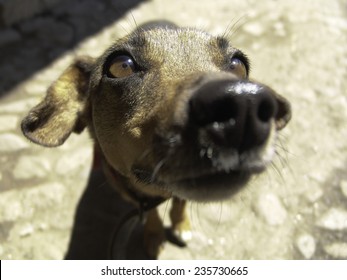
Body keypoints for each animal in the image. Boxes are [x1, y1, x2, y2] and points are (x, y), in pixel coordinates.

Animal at [21, 20, 290, 260]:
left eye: (238, 65)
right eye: (121, 65)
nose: (245, 105)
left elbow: (180, 202)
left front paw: (181, 225)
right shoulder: (138, 198)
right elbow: (152, 214)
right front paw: (154, 235)